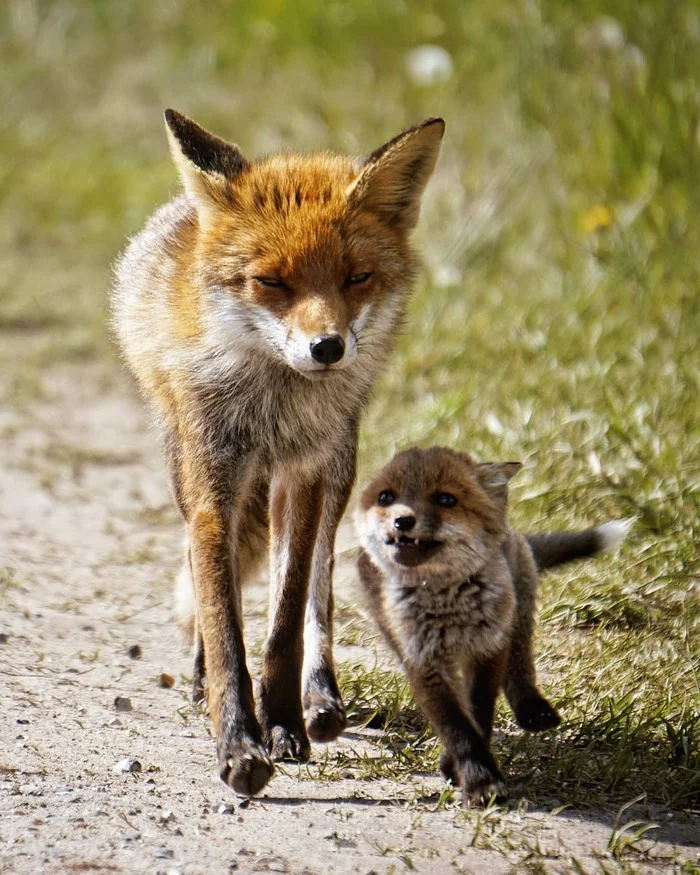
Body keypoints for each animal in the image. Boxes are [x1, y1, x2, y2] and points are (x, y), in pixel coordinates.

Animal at [111, 110, 445, 796]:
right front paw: (238, 741)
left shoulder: (305, 475)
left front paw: (284, 721)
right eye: (270, 281)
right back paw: (200, 677)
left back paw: (320, 699)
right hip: (185, 468)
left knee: (320, 582)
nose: (328, 347)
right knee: (211, 580)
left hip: (340, 468)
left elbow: (286, 620)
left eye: (356, 277)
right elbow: (223, 620)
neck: (272, 406)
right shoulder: (213, 483)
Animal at [355, 447, 629, 804]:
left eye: (446, 499)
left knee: (521, 661)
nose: (402, 521)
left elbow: (478, 712)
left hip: (518, 608)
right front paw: (478, 779)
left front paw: (465, 771)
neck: (447, 603)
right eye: (386, 497)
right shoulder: (424, 662)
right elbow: (456, 726)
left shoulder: (488, 647)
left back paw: (532, 707)